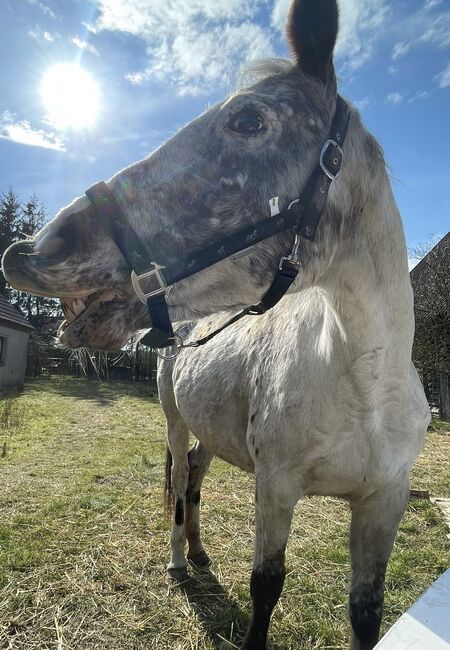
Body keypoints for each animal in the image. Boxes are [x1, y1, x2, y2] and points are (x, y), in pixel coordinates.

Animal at [2, 1, 428, 648]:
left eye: (249, 121)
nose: (31, 251)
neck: (364, 386)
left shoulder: (384, 504)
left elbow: (366, 612)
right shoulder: (275, 488)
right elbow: (265, 588)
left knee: (198, 478)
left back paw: (200, 555)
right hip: (176, 424)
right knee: (181, 485)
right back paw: (180, 560)